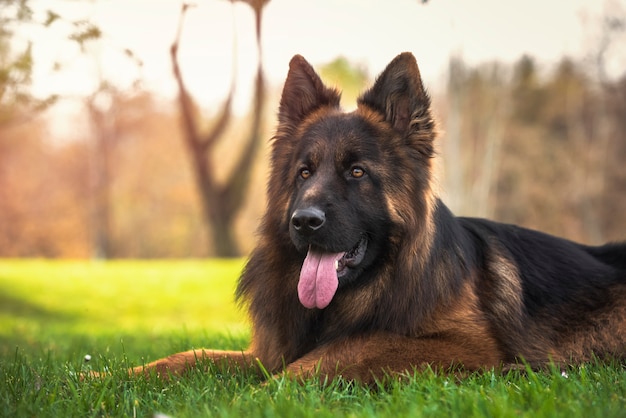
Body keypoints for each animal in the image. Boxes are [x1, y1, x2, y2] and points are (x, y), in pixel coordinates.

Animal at [129, 51, 620, 382]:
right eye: (304, 172)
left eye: (357, 172)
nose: (304, 222)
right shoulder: (265, 351)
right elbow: (190, 356)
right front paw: (113, 377)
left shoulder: (470, 346)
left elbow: (345, 349)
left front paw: (262, 394)